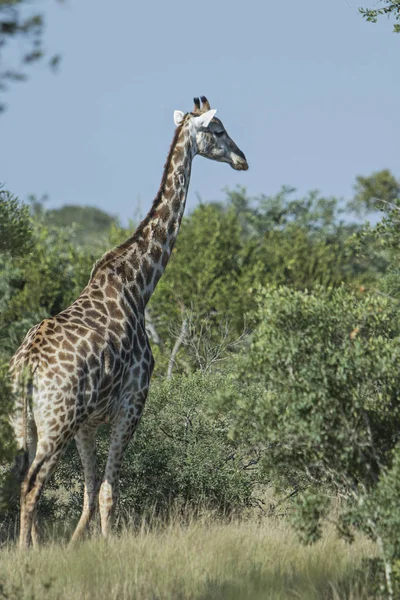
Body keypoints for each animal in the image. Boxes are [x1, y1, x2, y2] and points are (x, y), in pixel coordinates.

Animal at [8, 95, 247, 548]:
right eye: (219, 129)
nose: (243, 159)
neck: (140, 283)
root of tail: (26, 365)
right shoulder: (130, 407)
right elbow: (107, 493)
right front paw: (106, 547)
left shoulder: (88, 423)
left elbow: (87, 492)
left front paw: (74, 547)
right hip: (55, 421)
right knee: (32, 486)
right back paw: (27, 552)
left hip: (21, 421)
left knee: (18, 482)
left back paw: (26, 547)